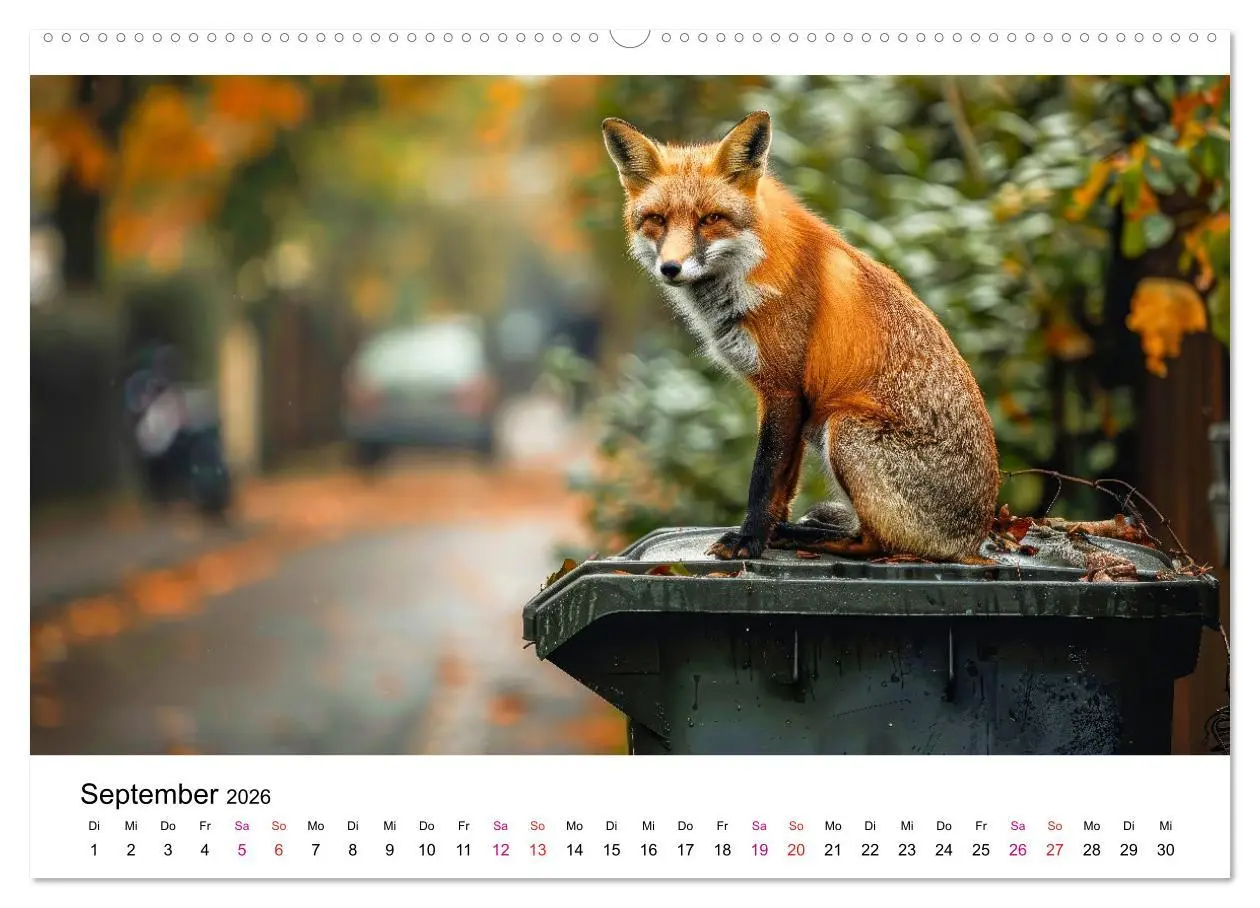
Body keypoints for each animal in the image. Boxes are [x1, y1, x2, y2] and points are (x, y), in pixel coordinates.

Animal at [601, 110, 1000, 563]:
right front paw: (766, 534)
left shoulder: (784, 390)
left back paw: (808, 537)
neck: (754, 265)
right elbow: (783, 487)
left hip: (844, 429)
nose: (670, 268)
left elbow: (763, 479)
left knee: (875, 543)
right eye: (657, 219)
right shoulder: (789, 400)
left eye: (711, 218)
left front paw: (748, 541)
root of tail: (973, 541)